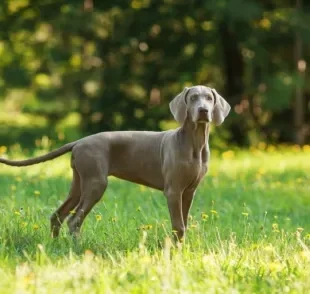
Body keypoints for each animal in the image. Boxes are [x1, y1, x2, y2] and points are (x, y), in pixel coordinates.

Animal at [0, 85, 229, 241]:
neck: (194, 143)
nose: (203, 111)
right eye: (193, 98)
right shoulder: (173, 191)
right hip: (96, 182)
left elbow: (184, 225)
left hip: (79, 182)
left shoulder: (189, 191)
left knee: (58, 215)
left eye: (209, 98)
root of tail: (79, 141)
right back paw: (77, 248)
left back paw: (55, 245)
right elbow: (178, 225)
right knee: (74, 220)